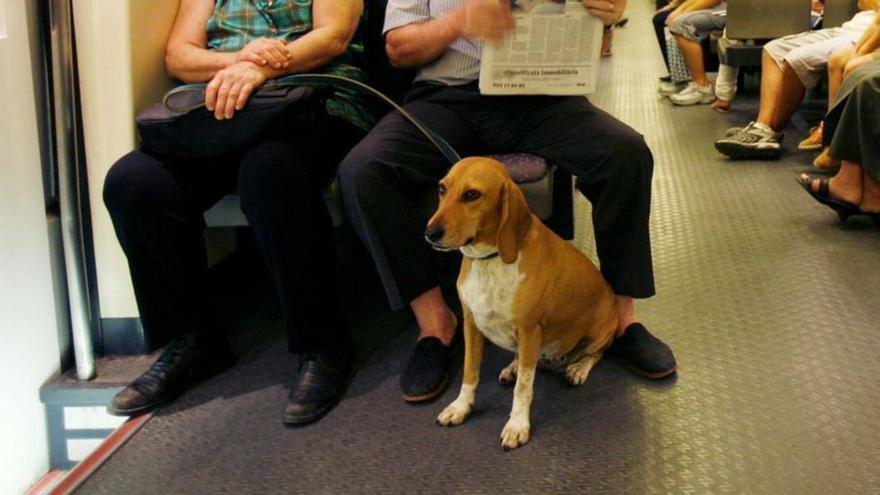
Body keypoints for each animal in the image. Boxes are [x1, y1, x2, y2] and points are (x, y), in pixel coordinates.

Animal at [426, 157, 620, 452]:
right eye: (441, 189)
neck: (491, 259)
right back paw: (514, 366)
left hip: (600, 333)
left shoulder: (530, 331)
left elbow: (523, 388)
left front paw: (517, 425)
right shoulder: (471, 324)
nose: (430, 233)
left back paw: (578, 368)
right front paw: (461, 406)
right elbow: (470, 372)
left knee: (596, 354)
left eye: (472, 194)